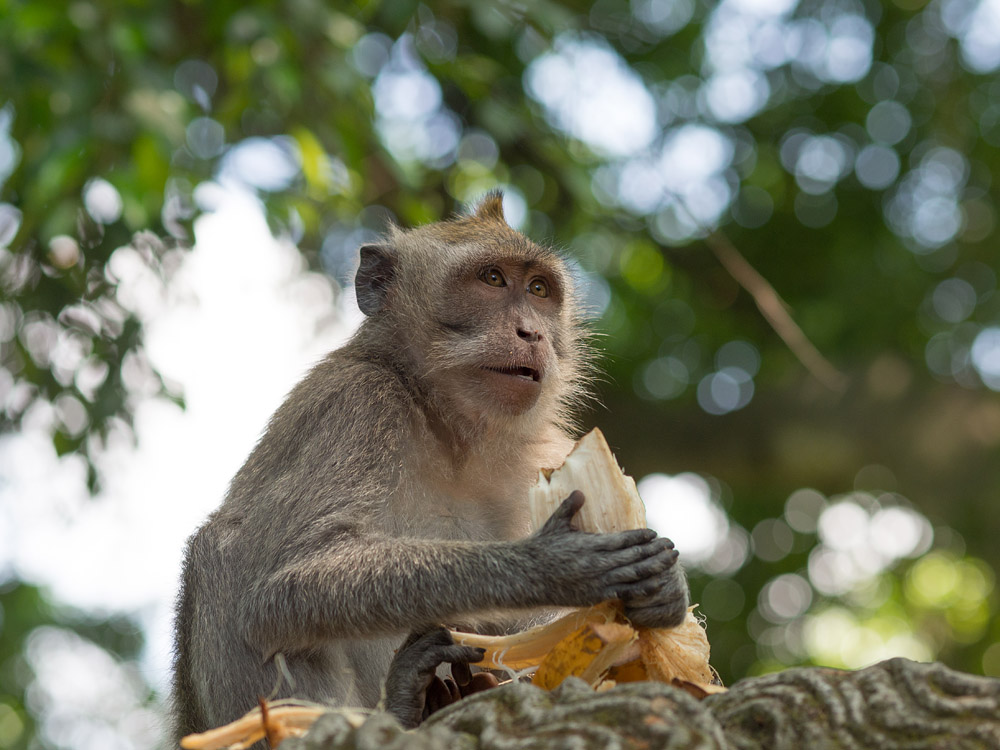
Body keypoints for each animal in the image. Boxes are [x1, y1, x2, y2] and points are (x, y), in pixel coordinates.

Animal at [172, 194, 688, 740]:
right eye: (492, 279)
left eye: (539, 289)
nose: (532, 332)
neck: (449, 428)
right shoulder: (357, 401)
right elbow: (285, 582)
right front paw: (551, 565)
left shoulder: (546, 452)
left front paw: (666, 594)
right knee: (223, 551)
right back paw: (395, 708)